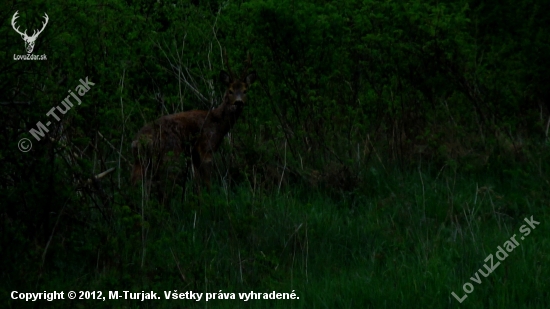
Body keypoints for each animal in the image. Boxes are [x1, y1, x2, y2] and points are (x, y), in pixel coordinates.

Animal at [132, 57, 258, 195]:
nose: (238, 102)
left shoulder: (194, 155)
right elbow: (207, 181)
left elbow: (198, 183)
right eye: (230, 91)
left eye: (245, 91)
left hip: (141, 160)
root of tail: (138, 141)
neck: (217, 123)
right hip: (169, 153)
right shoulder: (205, 147)